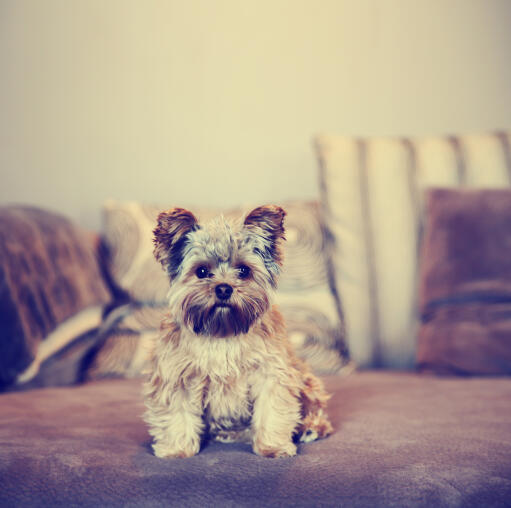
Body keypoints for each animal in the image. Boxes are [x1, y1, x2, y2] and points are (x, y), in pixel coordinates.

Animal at [146, 204, 334, 458]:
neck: (222, 332)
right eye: (201, 271)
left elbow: (272, 411)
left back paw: (311, 428)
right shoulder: (178, 378)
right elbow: (177, 415)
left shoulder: (271, 374)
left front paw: (272, 446)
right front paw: (177, 449)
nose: (224, 288)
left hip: (306, 380)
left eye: (244, 270)